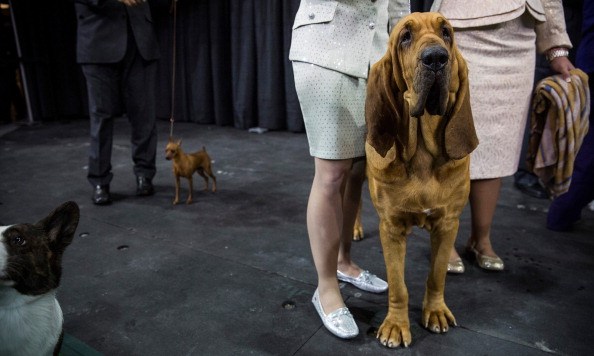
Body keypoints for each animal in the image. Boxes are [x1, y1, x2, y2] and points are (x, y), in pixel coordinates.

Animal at [366, 13, 476, 348]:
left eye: (446, 33)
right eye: (405, 37)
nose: (436, 58)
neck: (423, 154)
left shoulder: (447, 224)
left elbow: (437, 274)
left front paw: (436, 312)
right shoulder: (390, 227)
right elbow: (398, 286)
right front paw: (395, 326)